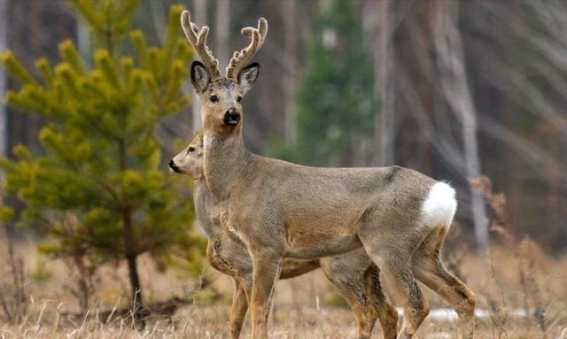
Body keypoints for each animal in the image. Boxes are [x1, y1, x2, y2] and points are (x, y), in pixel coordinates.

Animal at [180, 9, 478, 338]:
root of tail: (443, 193)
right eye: (213, 97)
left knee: (415, 305)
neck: (237, 182)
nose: (233, 115)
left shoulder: (266, 243)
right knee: (463, 296)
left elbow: (259, 309)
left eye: (240, 98)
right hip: (424, 249)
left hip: (387, 242)